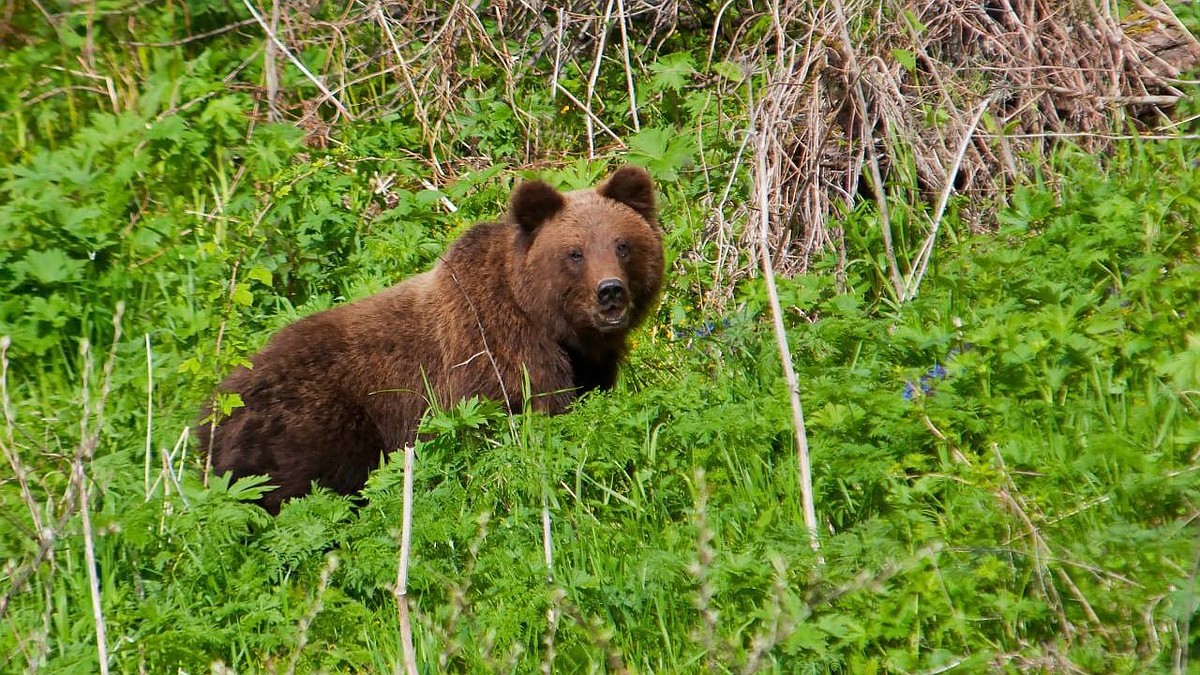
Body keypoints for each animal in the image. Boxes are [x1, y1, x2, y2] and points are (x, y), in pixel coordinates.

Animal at [200, 164, 662, 509]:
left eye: (622, 245)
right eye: (574, 253)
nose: (610, 291)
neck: (549, 324)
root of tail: (212, 410)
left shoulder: (589, 366)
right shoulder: (492, 355)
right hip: (308, 424)